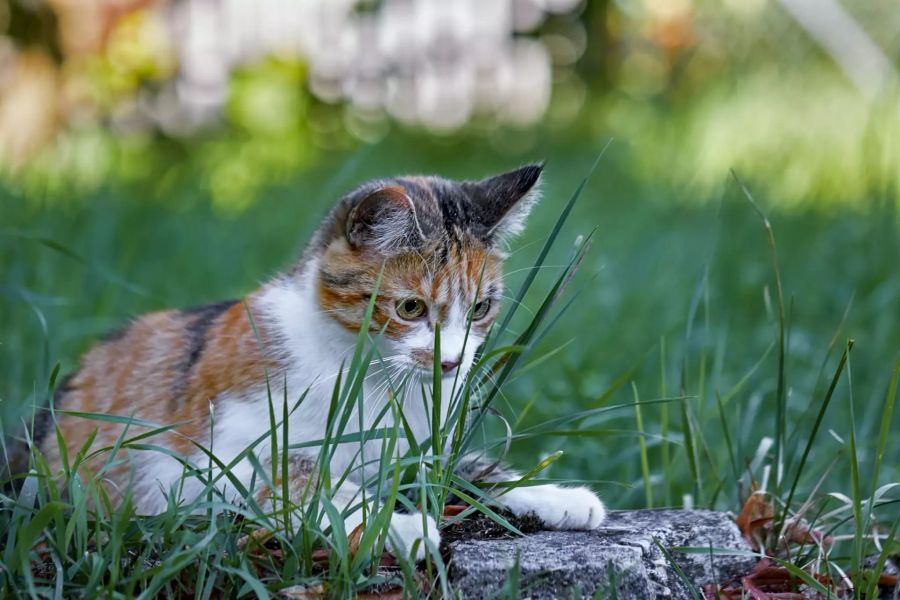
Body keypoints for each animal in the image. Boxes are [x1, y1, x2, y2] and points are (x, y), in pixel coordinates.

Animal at [29, 163, 604, 556]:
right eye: (410, 308)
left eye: (481, 308)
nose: (451, 364)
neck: (369, 378)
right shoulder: (199, 462)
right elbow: (304, 478)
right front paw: (394, 523)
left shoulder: (420, 449)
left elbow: (467, 467)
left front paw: (550, 493)